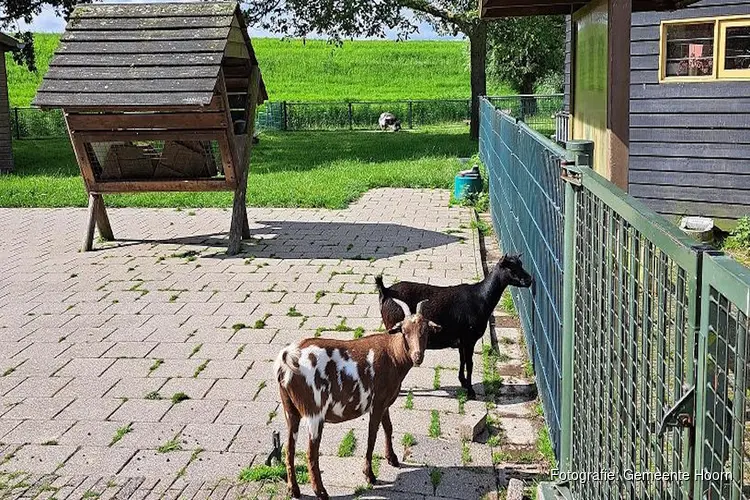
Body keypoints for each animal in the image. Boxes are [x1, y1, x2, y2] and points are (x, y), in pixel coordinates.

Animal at [276, 298, 440, 498]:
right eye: (404, 331)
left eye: (425, 331)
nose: (418, 357)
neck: (393, 354)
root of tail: (287, 359)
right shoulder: (376, 404)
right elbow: (372, 436)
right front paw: (369, 474)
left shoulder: (384, 402)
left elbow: (388, 428)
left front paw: (392, 459)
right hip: (314, 411)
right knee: (311, 453)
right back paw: (320, 491)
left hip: (290, 409)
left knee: (289, 449)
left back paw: (294, 489)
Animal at [376, 254, 536, 398]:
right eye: (511, 268)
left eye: (520, 264)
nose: (529, 280)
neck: (480, 297)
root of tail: (385, 291)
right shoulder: (469, 339)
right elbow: (470, 363)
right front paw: (471, 392)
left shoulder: (461, 340)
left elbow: (462, 360)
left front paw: (463, 382)